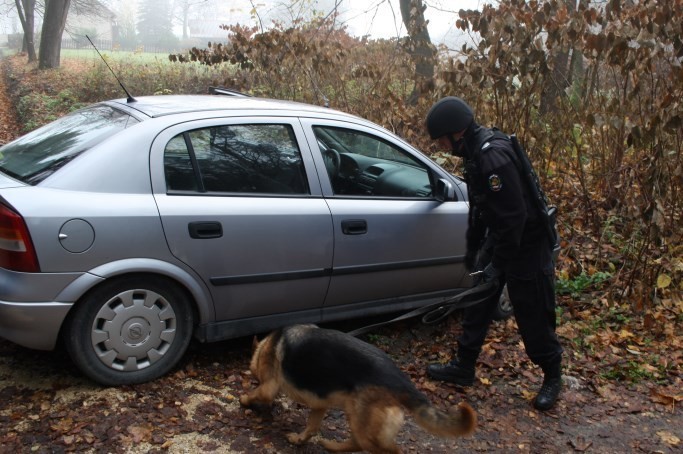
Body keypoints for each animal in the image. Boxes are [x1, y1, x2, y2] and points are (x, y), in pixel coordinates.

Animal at [240, 324, 476, 452]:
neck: (267, 345)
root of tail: (402, 381)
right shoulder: (319, 404)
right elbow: (311, 428)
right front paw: (299, 440)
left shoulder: (269, 386)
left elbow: (256, 393)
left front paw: (244, 400)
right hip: (357, 417)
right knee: (357, 444)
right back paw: (332, 447)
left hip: (362, 423)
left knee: (389, 449)